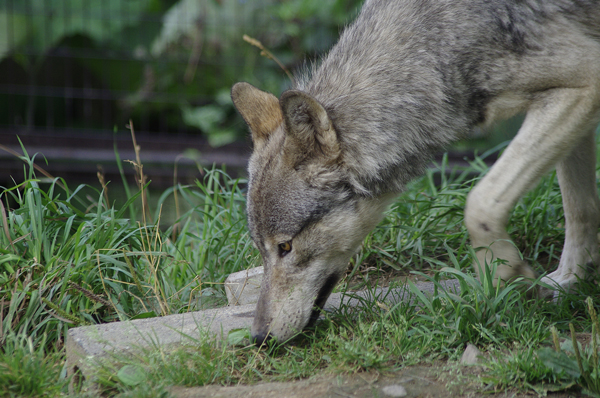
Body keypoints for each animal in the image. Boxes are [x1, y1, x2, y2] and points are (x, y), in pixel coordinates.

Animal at [231, 0, 600, 346]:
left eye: (286, 247)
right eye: (262, 250)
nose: (258, 337)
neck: (436, 47)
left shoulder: (584, 84)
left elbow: (480, 204)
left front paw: (508, 281)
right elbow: (579, 208)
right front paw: (569, 282)